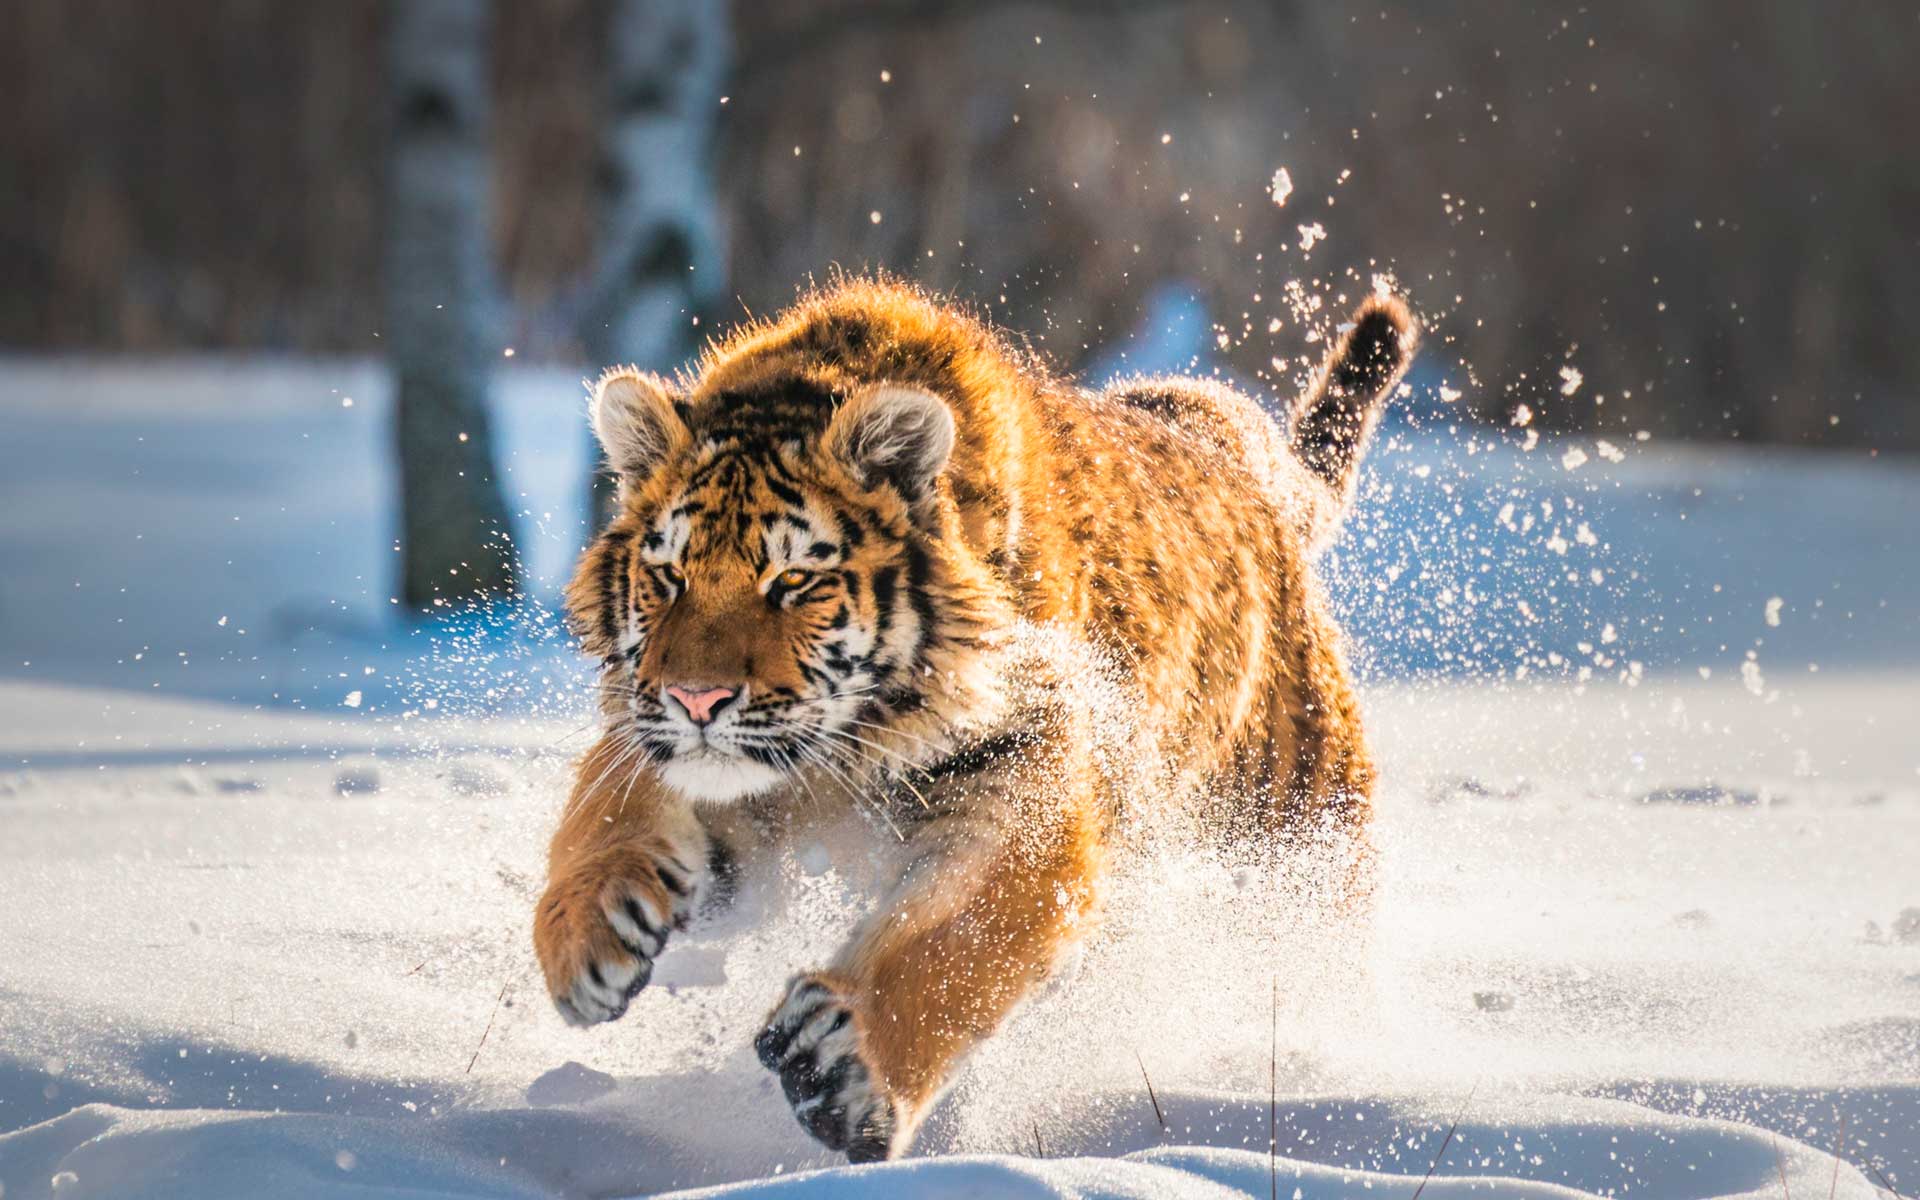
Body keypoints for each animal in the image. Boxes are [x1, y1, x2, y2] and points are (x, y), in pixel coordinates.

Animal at [532, 276, 1416, 1162]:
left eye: (793, 581)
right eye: (668, 575)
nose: (697, 699)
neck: (839, 754)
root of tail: (1246, 459)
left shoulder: (1026, 791)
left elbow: (955, 944)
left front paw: (843, 1069)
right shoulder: (681, 750)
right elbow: (603, 809)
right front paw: (585, 938)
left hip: (1297, 846)